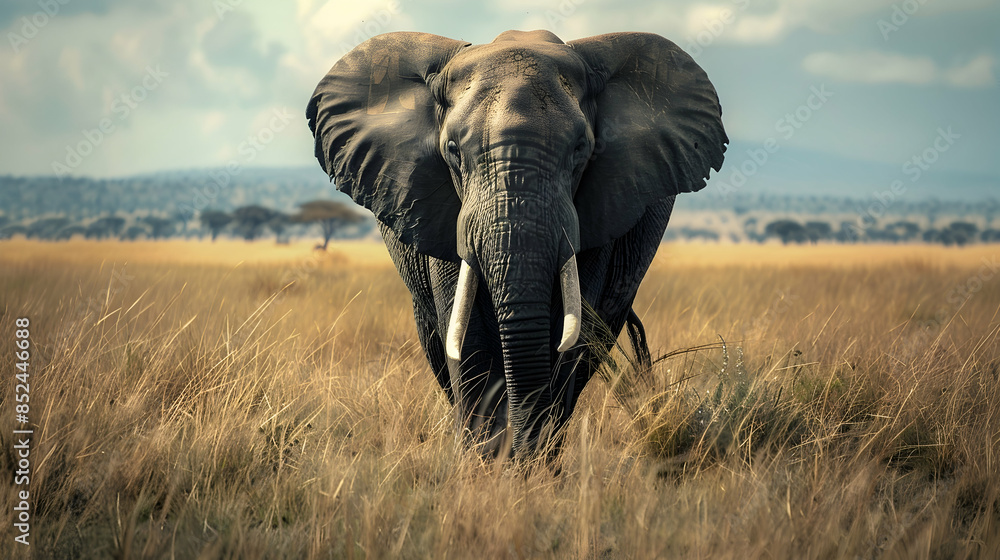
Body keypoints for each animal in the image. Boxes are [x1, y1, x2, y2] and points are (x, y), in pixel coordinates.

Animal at [307, 30, 727, 459]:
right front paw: (483, 464)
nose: (517, 453)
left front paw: (531, 466)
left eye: (581, 149)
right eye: (453, 150)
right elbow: (467, 336)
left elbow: (566, 331)